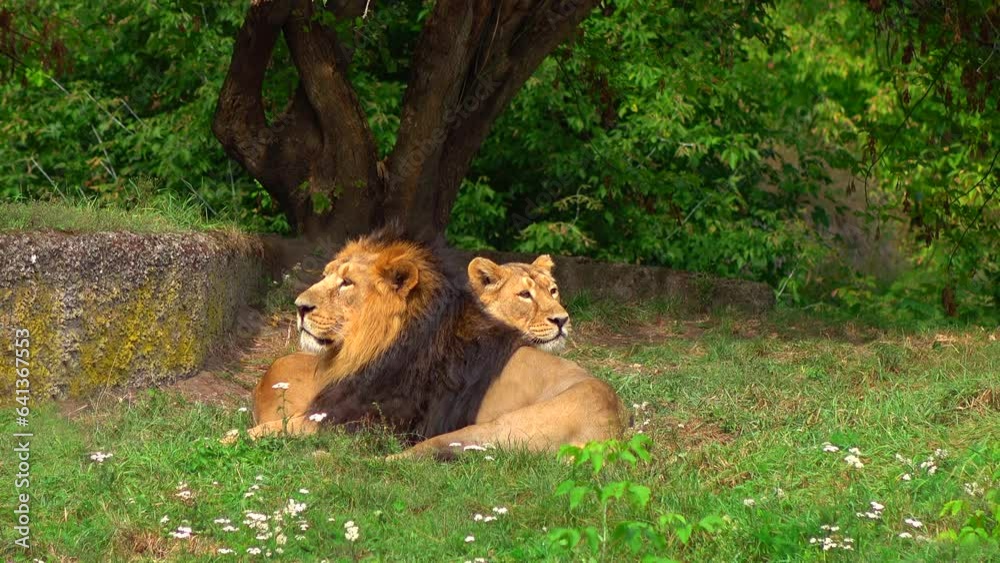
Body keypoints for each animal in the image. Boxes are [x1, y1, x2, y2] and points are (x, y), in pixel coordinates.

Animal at [250, 230, 624, 458]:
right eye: (326, 276)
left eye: (346, 283)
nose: (300, 306)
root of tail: (614, 429)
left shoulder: (365, 419)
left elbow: (274, 428)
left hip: (481, 431)